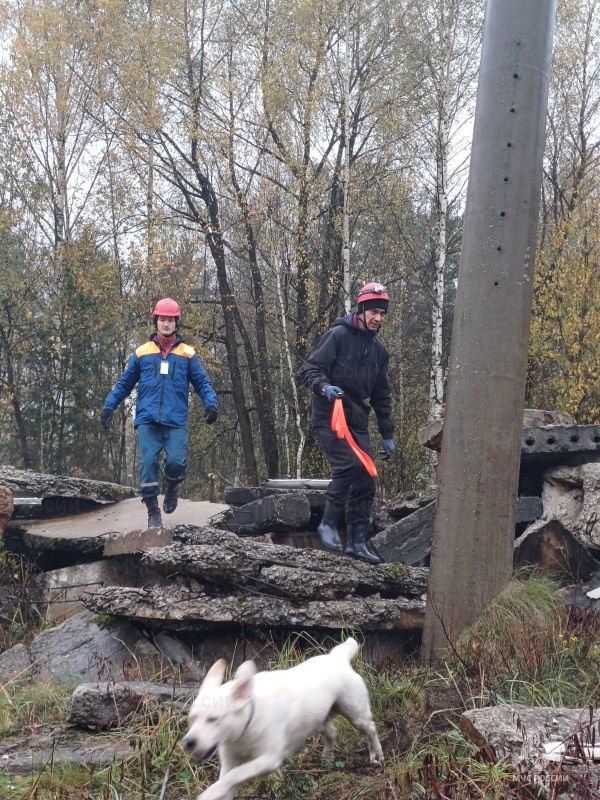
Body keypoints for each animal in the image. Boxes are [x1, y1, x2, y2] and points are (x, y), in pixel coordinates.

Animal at [180, 636, 384, 800]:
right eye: (191, 719)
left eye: (213, 719)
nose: (188, 742)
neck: (249, 719)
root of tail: (338, 657)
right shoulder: (230, 760)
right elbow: (229, 779)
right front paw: (218, 791)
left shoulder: (269, 760)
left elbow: (236, 774)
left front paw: (211, 792)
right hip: (318, 719)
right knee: (332, 732)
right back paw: (327, 756)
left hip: (356, 714)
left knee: (371, 728)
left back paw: (376, 754)